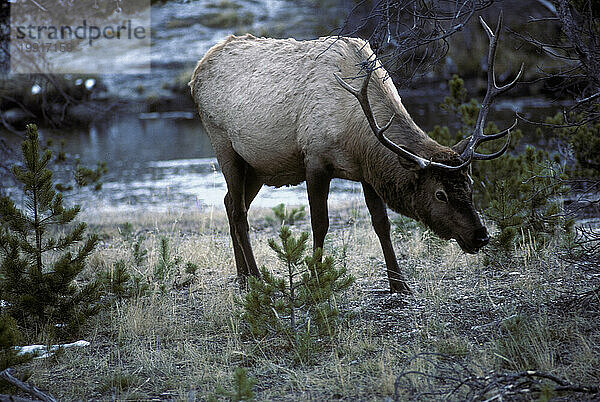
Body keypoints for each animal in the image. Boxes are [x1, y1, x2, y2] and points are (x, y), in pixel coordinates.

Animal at [191, 14, 520, 292]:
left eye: (470, 184)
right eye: (440, 194)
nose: (481, 235)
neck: (356, 134)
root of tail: (197, 71)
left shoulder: (366, 170)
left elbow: (381, 223)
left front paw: (399, 284)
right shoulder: (315, 159)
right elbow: (320, 222)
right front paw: (317, 277)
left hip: (258, 166)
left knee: (229, 202)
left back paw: (242, 276)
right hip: (223, 144)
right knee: (239, 211)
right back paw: (256, 278)